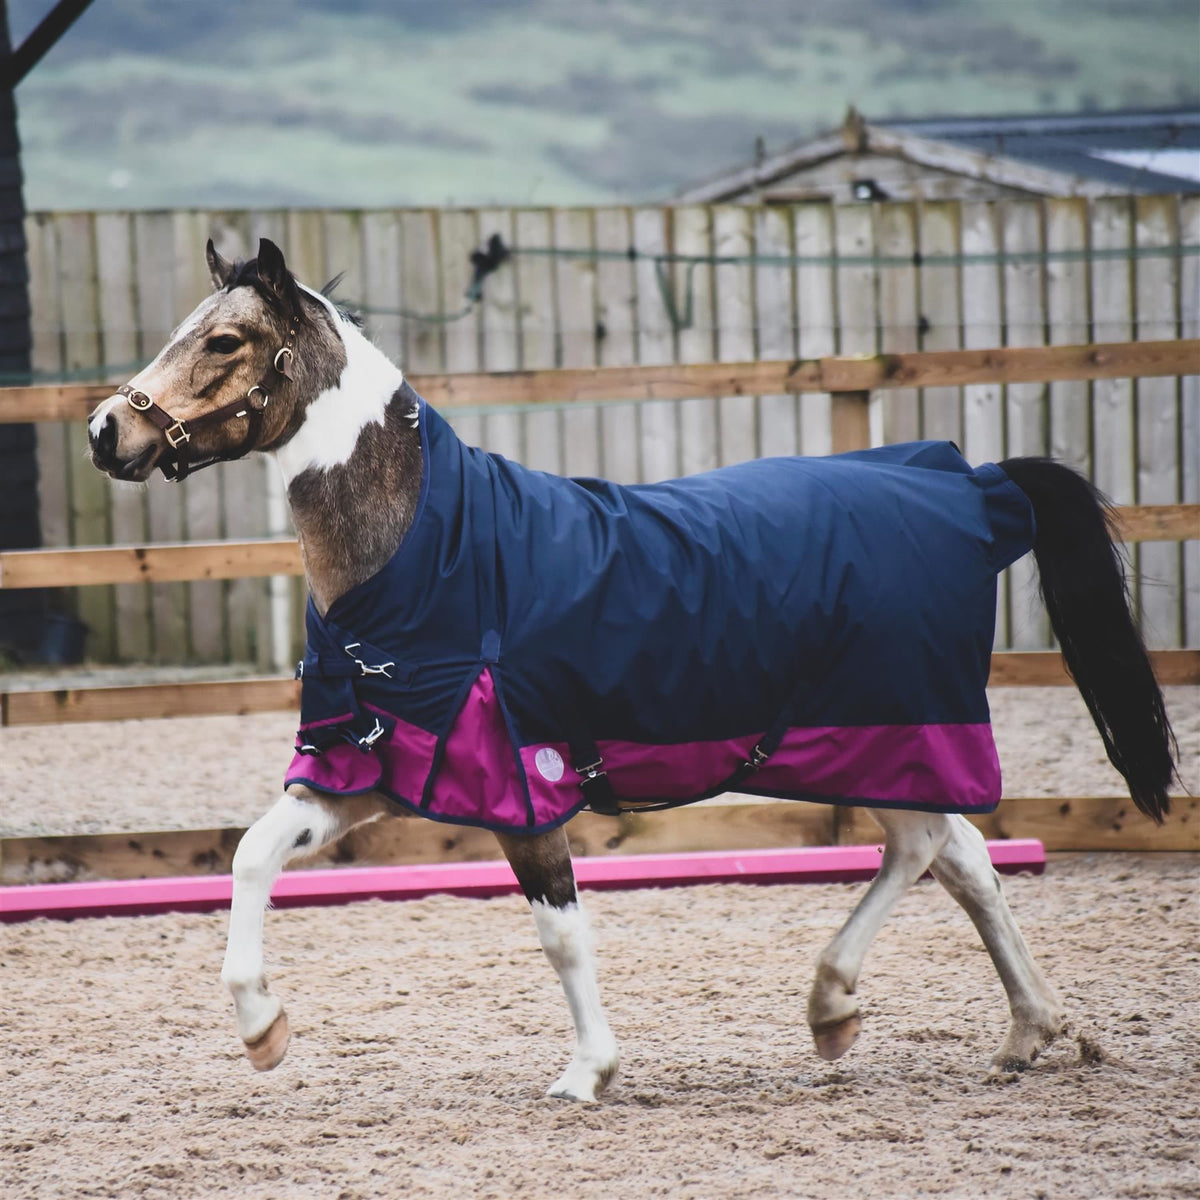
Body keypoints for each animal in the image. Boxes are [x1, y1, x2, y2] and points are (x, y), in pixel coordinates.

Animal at [87, 238, 1177, 1103]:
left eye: (225, 342)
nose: (108, 429)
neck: (434, 554)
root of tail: (974, 486)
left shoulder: (520, 786)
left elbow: (561, 932)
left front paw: (588, 1072)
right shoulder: (367, 770)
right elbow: (252, 856)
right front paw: (262, 1030)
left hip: (894, 725)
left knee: (925, 847)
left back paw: (847, 1007)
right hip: (880, 740)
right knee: (960, 855)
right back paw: (1015, 1030)